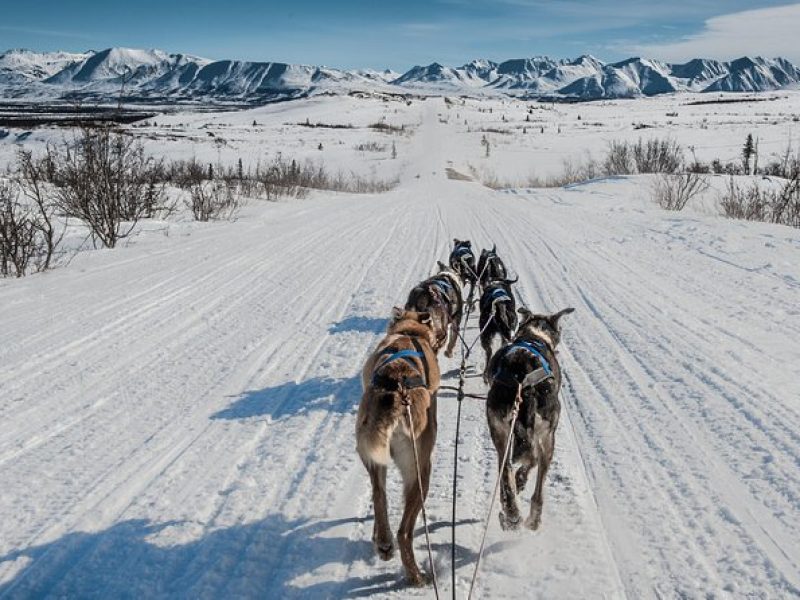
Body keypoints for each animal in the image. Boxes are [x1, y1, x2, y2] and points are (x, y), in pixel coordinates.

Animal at [358, 310, 444, 584]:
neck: (408, 331)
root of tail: (397, 395)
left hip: (373, 458)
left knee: (379, 495)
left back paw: (383, 543)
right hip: (421, 471)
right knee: (404, 532)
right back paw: (416, 576)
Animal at [484, 308, 572, 532]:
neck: (534, 335)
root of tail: (523, 375)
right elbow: (531, 463)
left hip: (502, 432)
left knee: (507, 470)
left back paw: (513, 514)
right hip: (545, 438)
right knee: (534, 478)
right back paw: (527, 518)